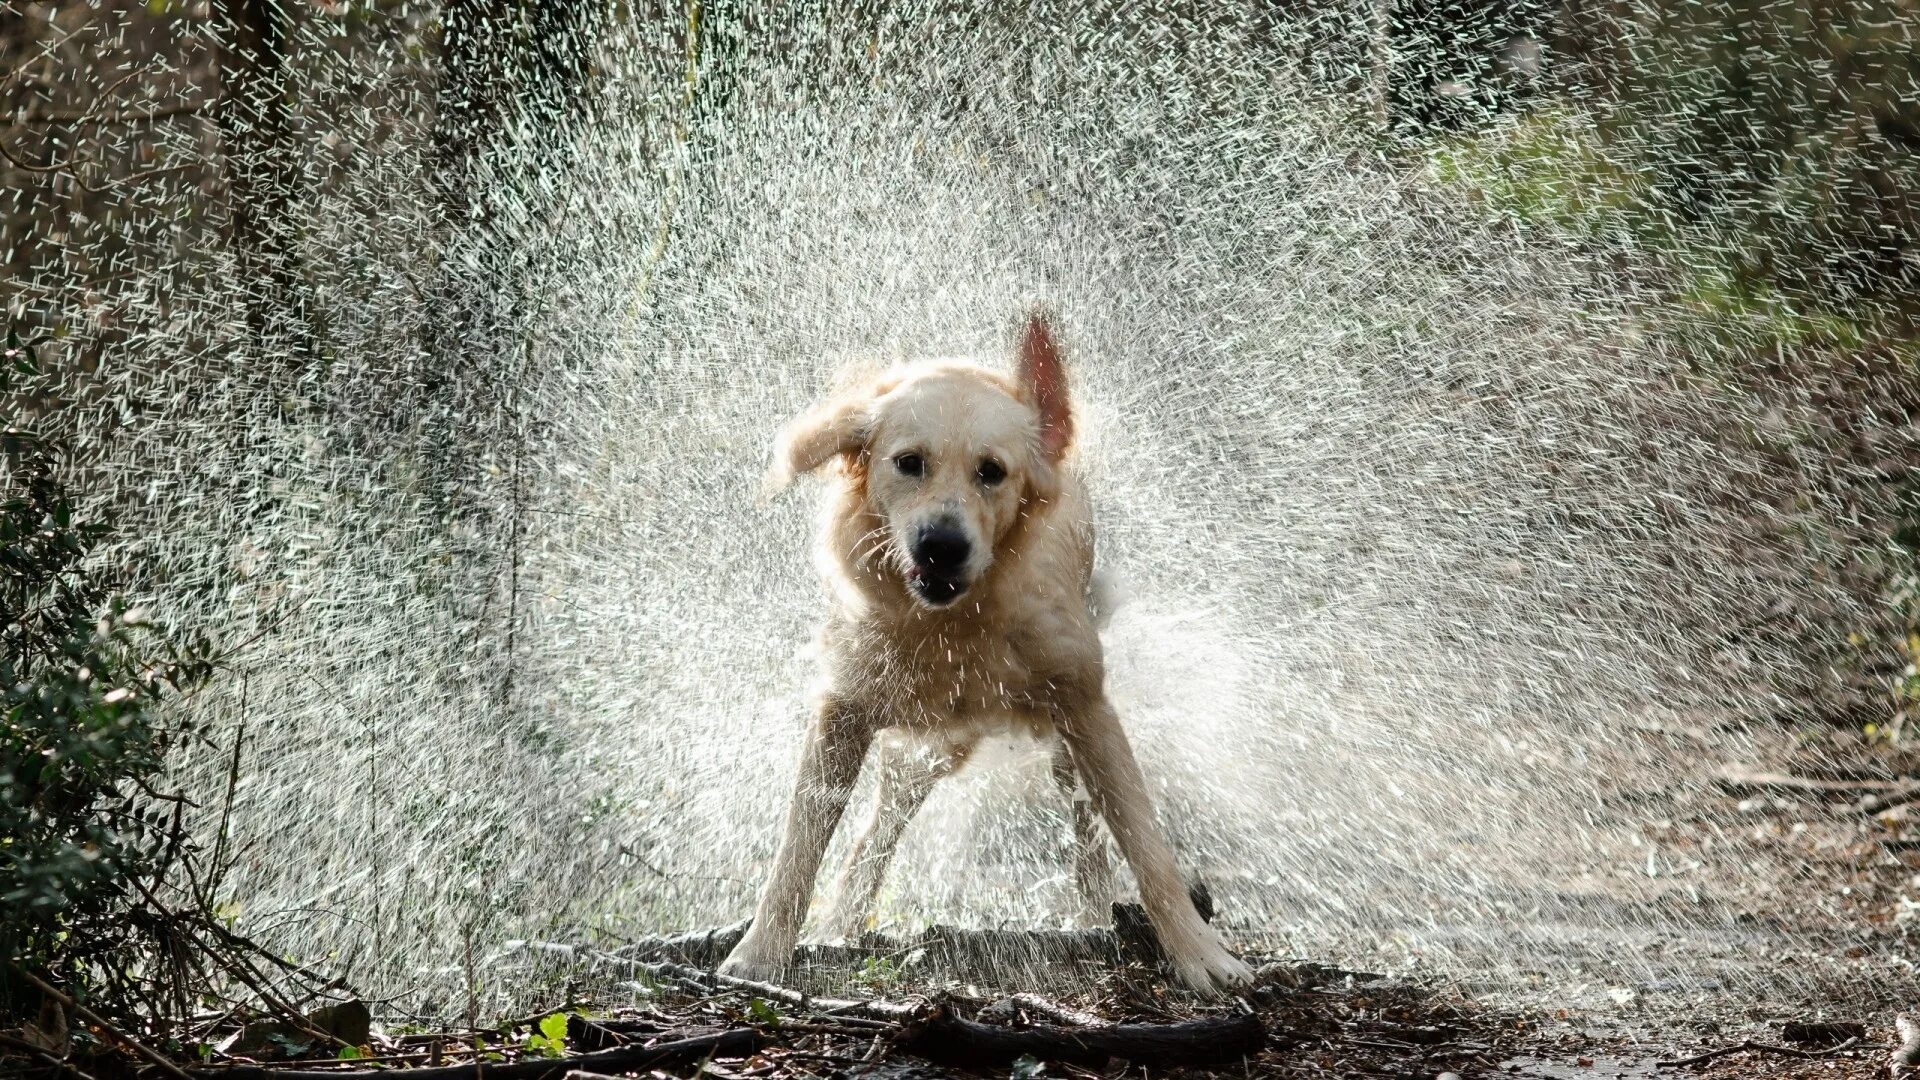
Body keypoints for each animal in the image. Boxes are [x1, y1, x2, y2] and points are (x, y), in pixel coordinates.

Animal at [721, 305, 1259, 991]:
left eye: (992, 472)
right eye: (908, 462)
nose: (940, 546)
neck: (955, 624)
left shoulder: (1087, 709)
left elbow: (1145, 844)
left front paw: (1200, 956)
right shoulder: (842, 710)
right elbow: (798, 848)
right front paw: (760, 952)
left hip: (1057, 743)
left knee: (1086, 832)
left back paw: (1093, 918)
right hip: (922, 752)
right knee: (875, 836)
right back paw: (840, 925)